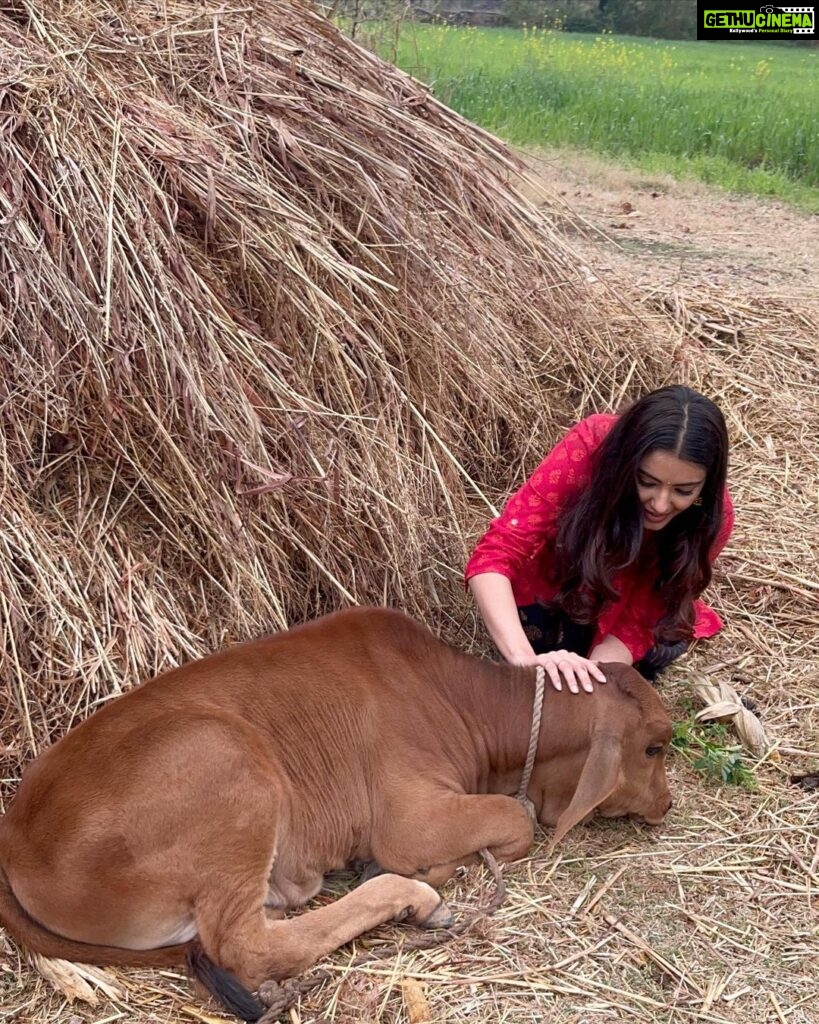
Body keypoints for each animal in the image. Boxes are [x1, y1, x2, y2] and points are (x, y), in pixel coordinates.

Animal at [0, 606, 671, 1015]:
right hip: (226, 765)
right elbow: (519, 820)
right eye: (655, 747)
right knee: (249, 947)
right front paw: (426, 870)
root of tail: (14, 833)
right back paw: (410, 897)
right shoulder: (410, 818)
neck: (464, 703)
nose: (666, 804)